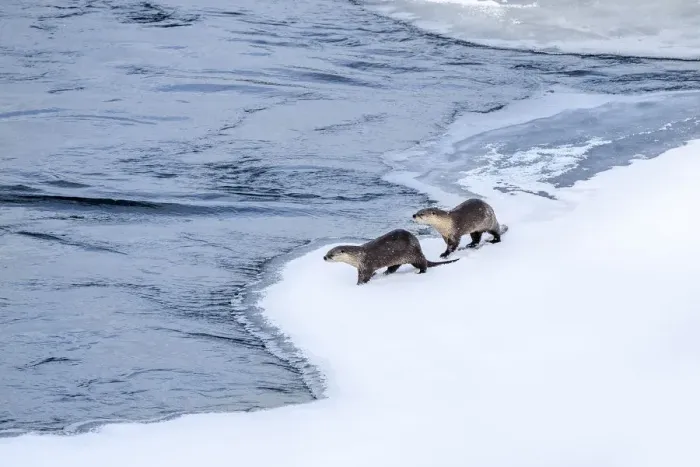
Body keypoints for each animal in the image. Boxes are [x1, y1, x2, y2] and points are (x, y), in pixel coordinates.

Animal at [323, 229, 459, 285]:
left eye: (331, 255)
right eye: (326, 253)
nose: (324, 258)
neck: (358, 256)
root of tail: (418, 247)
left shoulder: (366, 265)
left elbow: (365, 277)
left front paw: (359, 285)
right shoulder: (360, 267)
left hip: (413, 255)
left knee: (423, 264)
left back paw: (420, 272)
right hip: (398, 258)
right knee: (394, 267)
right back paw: (385, 273)